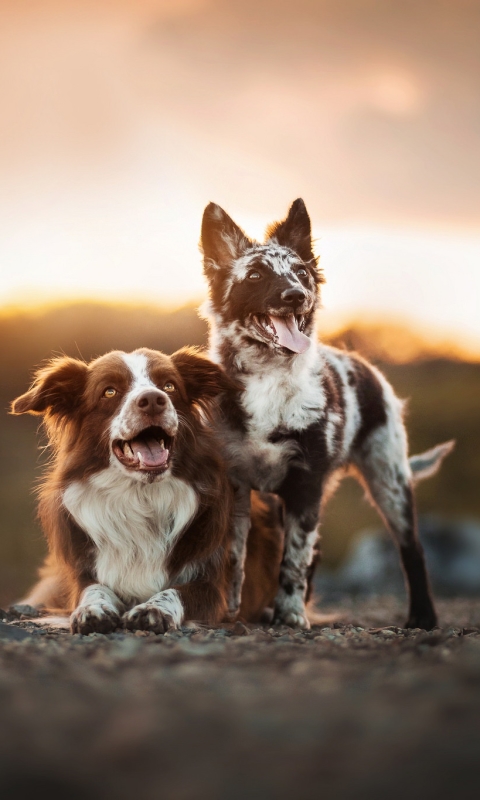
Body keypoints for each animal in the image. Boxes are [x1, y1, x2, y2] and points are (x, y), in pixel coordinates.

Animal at [10, 346, 238, 636]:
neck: (141, 496)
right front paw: (92, 610)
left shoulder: (214, 588)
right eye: (109, 391)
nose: (153, 400)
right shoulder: (84, 574)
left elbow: (177, 591)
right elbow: (93, 589)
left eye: (169, 386)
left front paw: (153, 610)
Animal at [200, 197, 454, 628]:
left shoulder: (306, 486)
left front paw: (290, 615)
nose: (295, 295)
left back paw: (422, 617)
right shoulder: (236, 485)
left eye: (301, 272)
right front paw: (229, 612)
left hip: (390, 481)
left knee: (412, 550)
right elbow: (235, 557)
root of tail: (367, 368)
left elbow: (293, 561)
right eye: (255, 275)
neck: (269, 379)